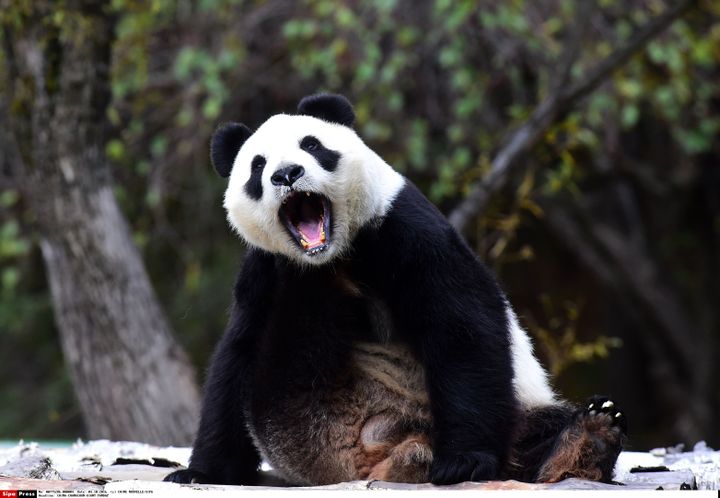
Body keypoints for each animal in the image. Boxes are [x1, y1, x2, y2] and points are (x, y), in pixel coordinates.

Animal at [166, 93, 628, 486]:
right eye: (258, 166)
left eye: (312, 145)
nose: (287, 174)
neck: (335, 253)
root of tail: (389, 452)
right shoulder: (263, 269)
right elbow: (236, 354)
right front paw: (201, 471)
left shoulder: (404, 229)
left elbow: (462, 328)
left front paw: (464, 462)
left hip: (508, 409)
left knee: (534, 432)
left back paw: (589, 438)